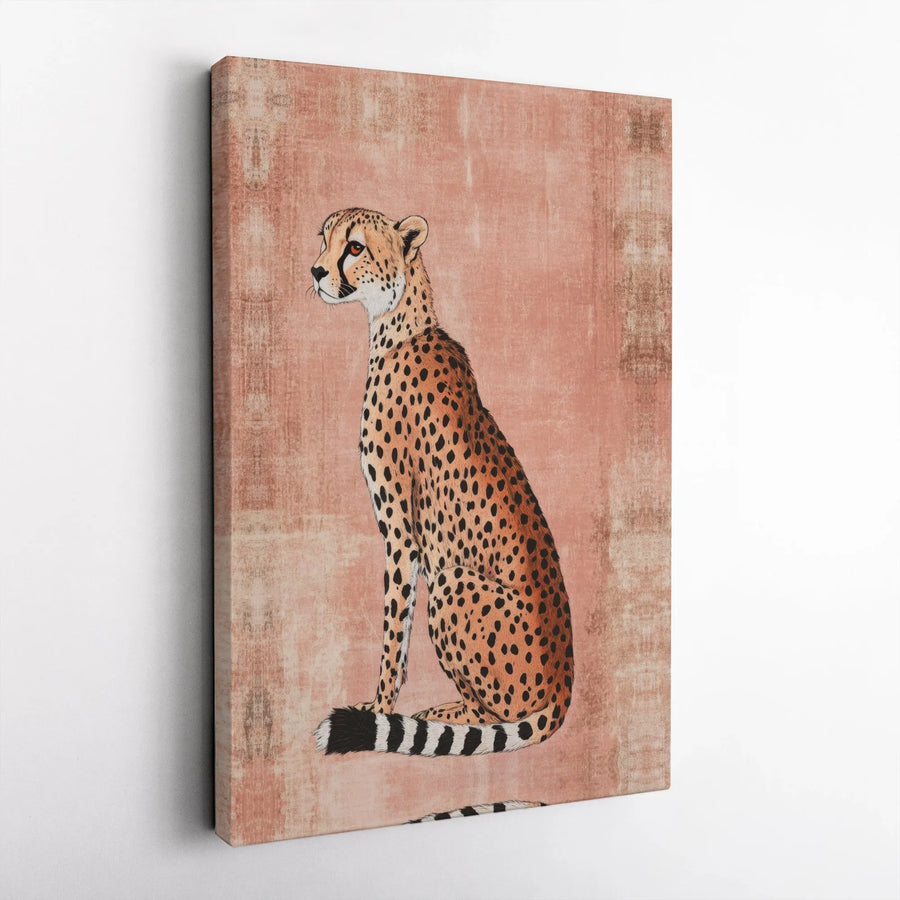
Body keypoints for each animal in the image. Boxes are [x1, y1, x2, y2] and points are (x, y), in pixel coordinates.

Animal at [312, 208, 574, 762]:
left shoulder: (401, 532)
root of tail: (564, 682)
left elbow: (394, 627)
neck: (397, 325)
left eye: (355, 247)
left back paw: (444, 714)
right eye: (324, 239)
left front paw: (378, 709)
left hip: (452, 582)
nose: (316, 271)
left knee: (496, 715)